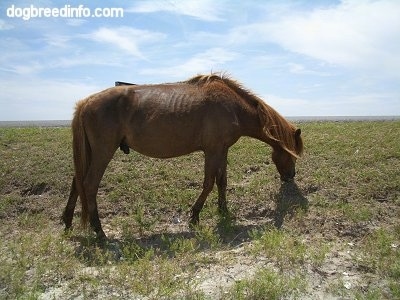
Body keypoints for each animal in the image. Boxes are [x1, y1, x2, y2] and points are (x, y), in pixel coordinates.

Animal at [63, 74, 304, 240]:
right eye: (292, 155)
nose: (291, 176)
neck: (233, 107)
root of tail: (86, 103)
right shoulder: (212, 151)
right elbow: (208, 183)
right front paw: (195, 215)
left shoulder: (222, 150)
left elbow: (222, 182)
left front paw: (223, 211)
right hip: (103, 152)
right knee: (89, 185)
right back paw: (99, 231)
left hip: (90, 153)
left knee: (77, 183)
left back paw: (67, 222)